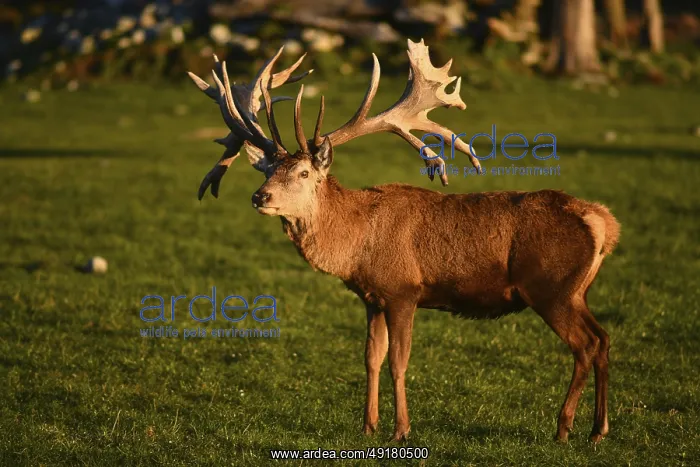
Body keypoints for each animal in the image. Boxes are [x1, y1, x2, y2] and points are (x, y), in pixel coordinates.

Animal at [187, 39, 620, 444]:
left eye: (304, 173)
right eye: (269, 170)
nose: (260, 197)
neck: (357, 243)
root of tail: (603, 222)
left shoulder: (403, 290)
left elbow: (398, 362)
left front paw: (401, 429)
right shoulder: (372, 297)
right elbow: (371, 358)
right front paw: (367, 425)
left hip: (551, 287)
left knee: (584, 344)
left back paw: (564, 427)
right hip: (574, 291)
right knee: (602, 338)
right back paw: (598, 429)